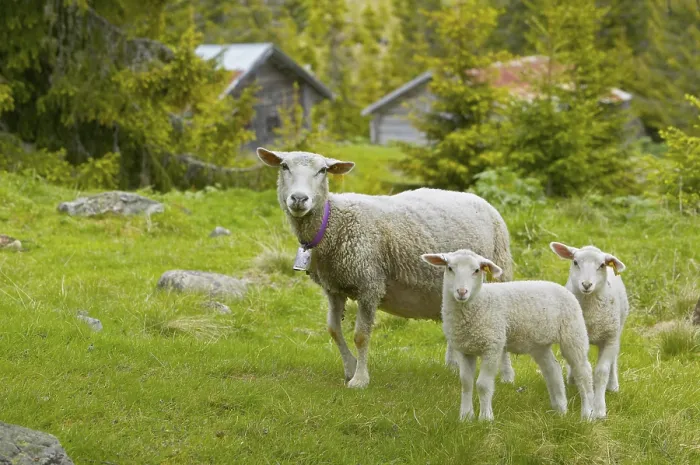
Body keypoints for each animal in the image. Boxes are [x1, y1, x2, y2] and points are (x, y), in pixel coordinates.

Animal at [256, 147, 515, 389]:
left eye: (323, 171)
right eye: (284, 166)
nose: (299, 199)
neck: (333, 224)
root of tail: (481, 200)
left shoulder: (369, 284)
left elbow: (360, 336)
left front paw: (360, 379)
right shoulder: (334, 288)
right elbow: (333, 330)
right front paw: (350, 368)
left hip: (500, 270)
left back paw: (506, 375)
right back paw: (454, 365)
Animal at [421, 249, 594, 421]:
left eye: (476, 270)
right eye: (450, 268)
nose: (462, 292)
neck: (479, 302)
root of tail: (560, 286)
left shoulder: (493, 346)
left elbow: (483, 385)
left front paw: (485, 418)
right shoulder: (465, 350)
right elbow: (466, 383)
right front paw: (466, 417)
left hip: (573, 332)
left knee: (583, 371)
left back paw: (588, 414)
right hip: (539, 344)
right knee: (553, 369)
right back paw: (560, 409)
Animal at [550, 242, 629, 419]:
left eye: (602, 265)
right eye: (575, 262)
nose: (586, 285)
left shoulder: (610, 338)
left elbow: (601, 372)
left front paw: (600, 409)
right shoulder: (574, 337)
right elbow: (582, 371)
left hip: (617, 329)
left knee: (613, 361)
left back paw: (613, 385)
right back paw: (571, 378)